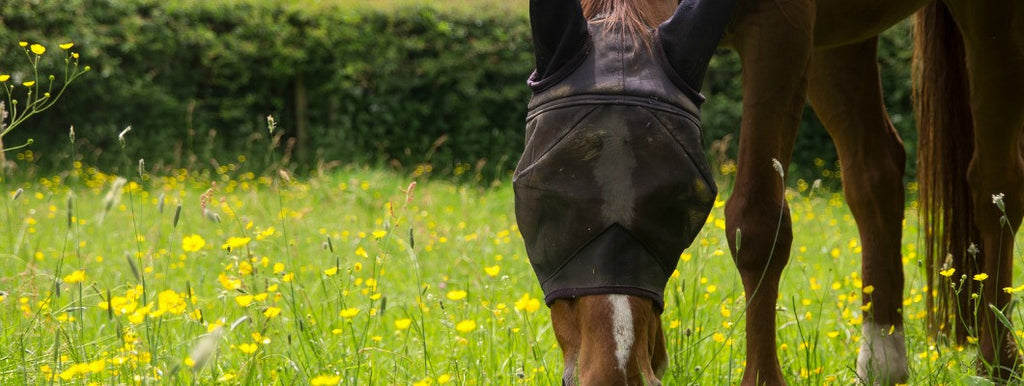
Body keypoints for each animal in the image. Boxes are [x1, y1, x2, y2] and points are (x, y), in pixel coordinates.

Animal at [552, 0, 1024, 384]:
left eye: (677, 201)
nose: (616, 372)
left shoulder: (780, 30)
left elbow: (757, 223)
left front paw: (761, 378)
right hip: (839, 40)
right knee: (876, 174)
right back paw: (883, 358)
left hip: (988, 19)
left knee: (994, 183)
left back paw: (996, 363)